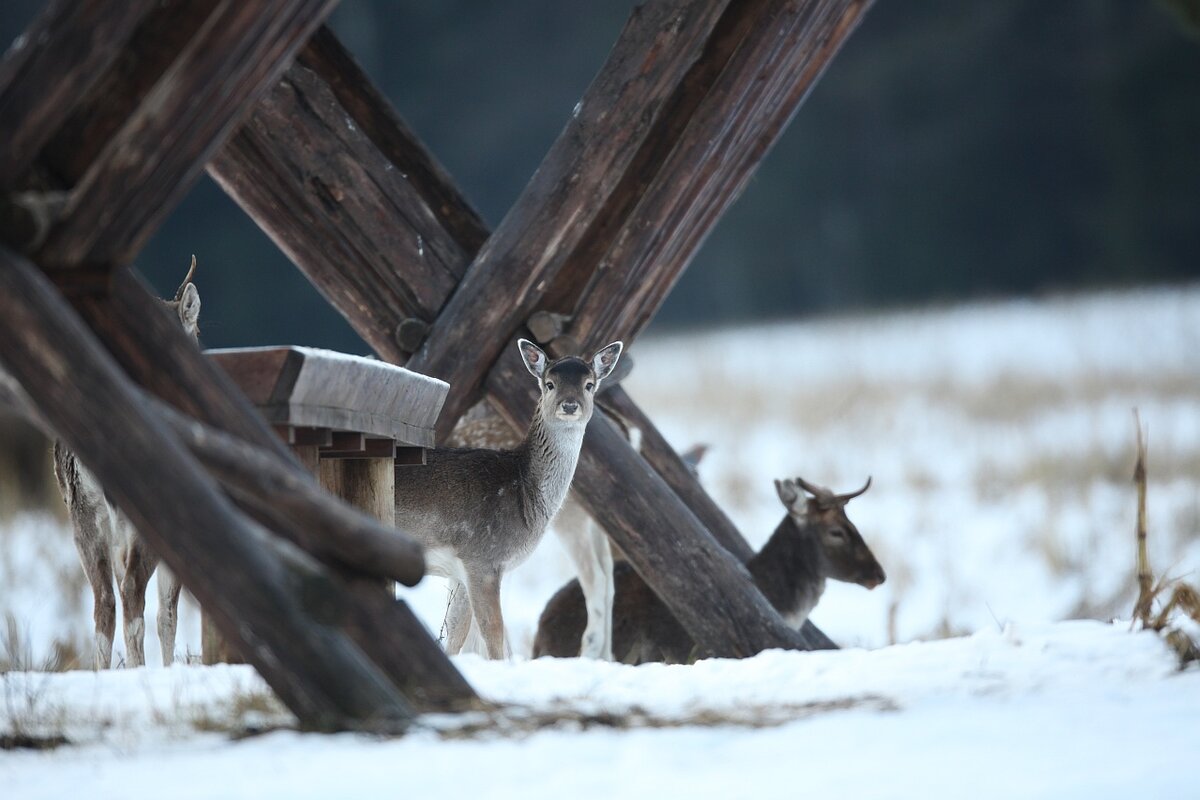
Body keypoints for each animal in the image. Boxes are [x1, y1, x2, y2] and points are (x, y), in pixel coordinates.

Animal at [396, 338, 624, 657]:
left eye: (589, 384)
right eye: (550, 384)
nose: (570, 404)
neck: (524, 495)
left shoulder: (463, 567)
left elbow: (457, 631)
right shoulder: (483, 557)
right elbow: (492, 632)